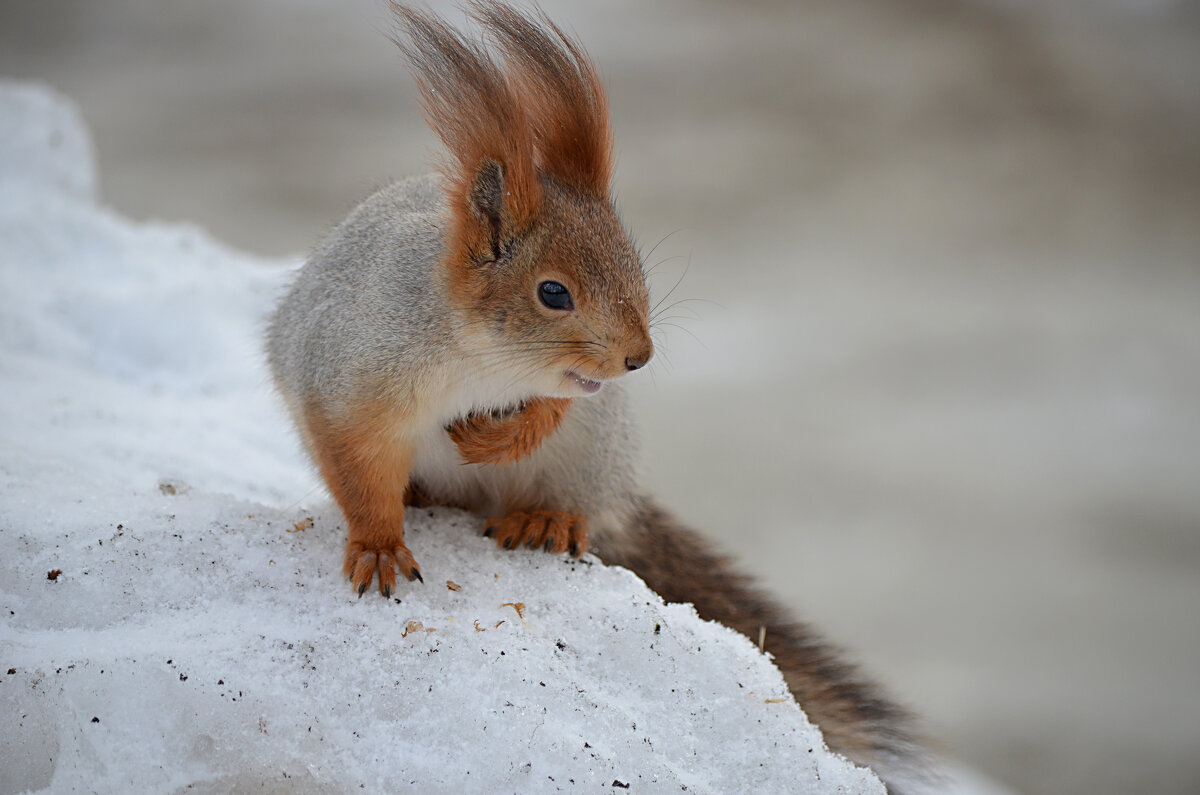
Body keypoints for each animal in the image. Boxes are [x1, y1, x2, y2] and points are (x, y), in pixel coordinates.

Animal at [270, 3, 926, 792]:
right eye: (553, 292)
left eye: (632, 261)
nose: (638, 357)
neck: (479, 362)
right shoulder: (349, 383)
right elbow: (358, 468)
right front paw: (377, 546)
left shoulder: (578, 394)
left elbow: (554, 408)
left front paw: (495, 437)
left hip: (594, 453)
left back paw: (546, 520)